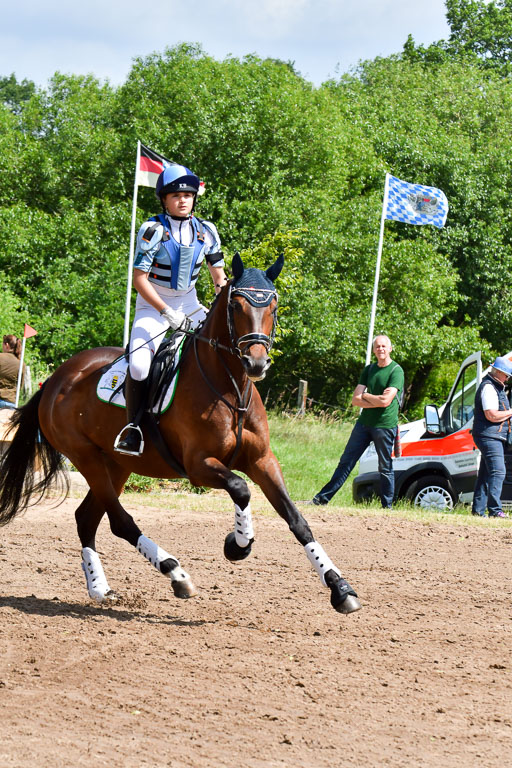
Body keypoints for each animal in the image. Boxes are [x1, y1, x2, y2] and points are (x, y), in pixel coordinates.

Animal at [0, 253, 361, 615]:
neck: (230, 389)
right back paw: (175, 572)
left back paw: (101, 589)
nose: (256, 363)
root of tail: (56, 379)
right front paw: (239, 544)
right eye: (236, 306)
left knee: (87, 518)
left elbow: (296, 519)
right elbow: (240, 488)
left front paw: (340, 587)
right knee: (119, 521)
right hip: (86, 457)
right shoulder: (199, 465)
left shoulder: (262, 461)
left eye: (273, 305)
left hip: (116, 464)